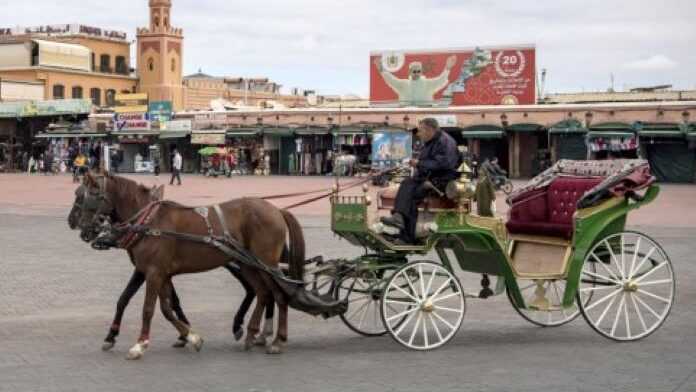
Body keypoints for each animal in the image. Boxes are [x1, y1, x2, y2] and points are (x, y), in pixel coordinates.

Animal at [78, 172, 302, 358]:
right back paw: (252, 334)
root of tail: (276, 209)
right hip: (249, 265)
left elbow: (148, 308)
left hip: (267, 264)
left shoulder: (154, 272)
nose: (83, 229)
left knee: (279, 296)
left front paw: (140, 344)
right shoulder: (158, 272)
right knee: (263, 294)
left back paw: (277, 340)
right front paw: (191, 337)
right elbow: (166, 308)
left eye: (92, 195)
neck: (149, 222)